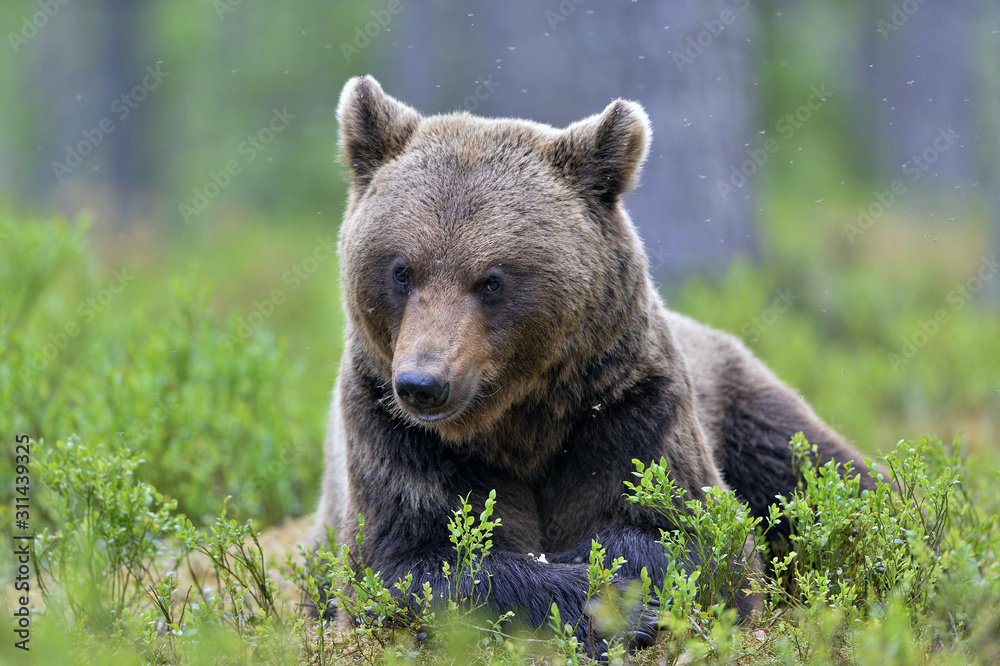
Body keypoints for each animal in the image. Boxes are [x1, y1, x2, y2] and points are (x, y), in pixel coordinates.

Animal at [312, 75, 876, 653]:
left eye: (492, 280)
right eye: (402, 270)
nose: (423, 384)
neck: (518, 424)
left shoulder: (629, 410)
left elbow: (693, 537)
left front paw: (613, 578)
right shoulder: (393, 434)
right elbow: (407, 565)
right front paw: (594, 598)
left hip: (741, 402)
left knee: (817, 470)